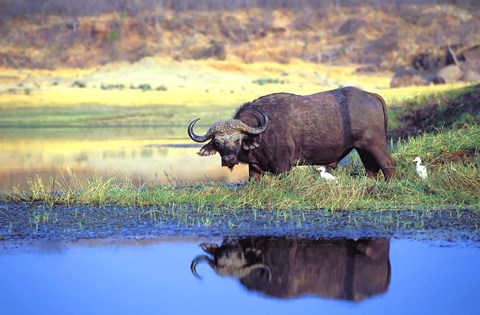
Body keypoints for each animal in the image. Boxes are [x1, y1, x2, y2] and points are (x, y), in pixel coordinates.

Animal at [189, 86, 396, 181]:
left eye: (237, 139)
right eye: (217, 143)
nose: (229, 159)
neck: (262, 132)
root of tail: (371, 96)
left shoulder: (284, 166)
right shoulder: (255, 168)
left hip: (376, 145)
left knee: (388, 164)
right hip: (362, 149)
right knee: (371, 168)